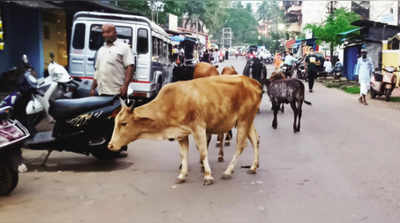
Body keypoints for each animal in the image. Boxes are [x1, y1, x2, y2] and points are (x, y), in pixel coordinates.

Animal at [108, 75, 262, 185]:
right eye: (115, 122)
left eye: (124, 123)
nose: (110, 145)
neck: (172, 102)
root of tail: (253, 82)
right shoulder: (180, 133)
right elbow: (183, 155)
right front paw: (182, 175)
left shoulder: (199, 128)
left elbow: (203, 153)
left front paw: (208, 176)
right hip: (247, 121)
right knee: (255, 140)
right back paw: (253, 167)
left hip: (244, 120)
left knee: (241, 146)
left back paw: (228, 172)